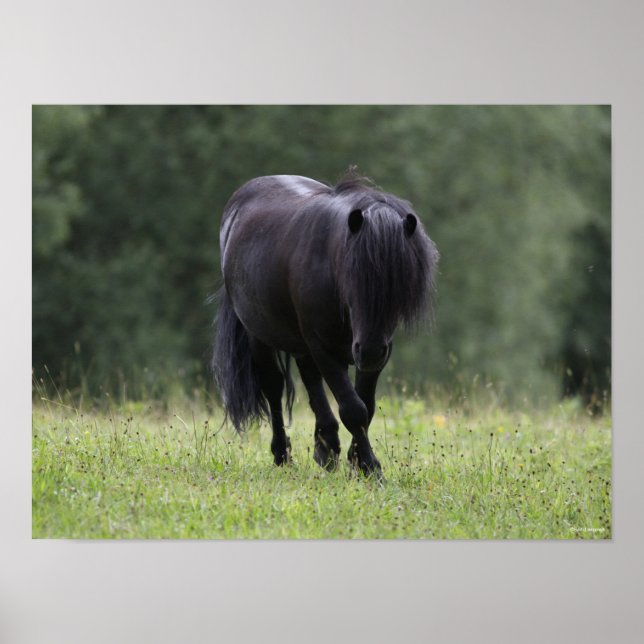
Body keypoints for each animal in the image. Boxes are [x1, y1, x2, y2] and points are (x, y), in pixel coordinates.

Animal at [212, 172, 438, 477]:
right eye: (351, 278)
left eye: (400, 283)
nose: (369, 351)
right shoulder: (324, 347)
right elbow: (353, 409)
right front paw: (370, 467)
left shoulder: (375, 353)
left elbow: (366, 405)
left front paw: (356, 461)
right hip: (259, 335)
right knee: (274, 387)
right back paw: (282, 455)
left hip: (304, 342)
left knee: (310, 381)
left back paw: (325, 448)